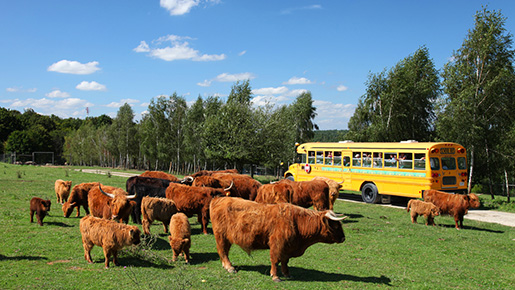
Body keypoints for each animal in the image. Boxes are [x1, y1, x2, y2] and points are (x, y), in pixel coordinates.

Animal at [210, 196, 346, 282]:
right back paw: (230, 267)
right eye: (335, 225)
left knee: (224, 251)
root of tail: (218, 199)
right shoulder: (277, 244)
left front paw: (287, 274)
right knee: (222, 251)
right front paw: (275, 276)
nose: (344, 238)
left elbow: (285, 261)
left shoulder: (288, 247)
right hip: (221, 236)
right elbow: (275, 260)